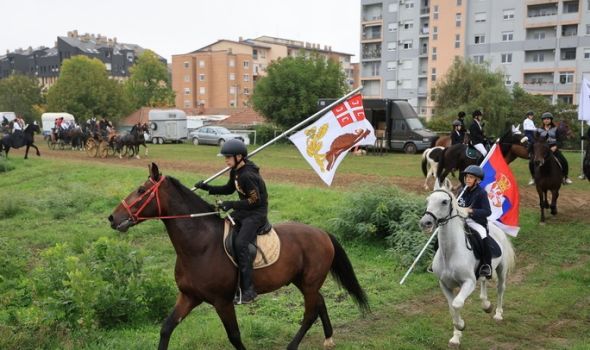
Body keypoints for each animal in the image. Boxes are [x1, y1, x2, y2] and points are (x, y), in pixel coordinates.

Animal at [107, 163, 370, 348]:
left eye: (141, 190)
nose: (112, 218)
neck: (200, 245)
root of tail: (322, 233)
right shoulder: (189, 296)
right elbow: (166, 328)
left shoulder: (223, 302)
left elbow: (234, 336)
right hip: (303, 281)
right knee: (320, 303)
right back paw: (329, 338)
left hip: (309, 282)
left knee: (310, 313)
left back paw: (293, 346)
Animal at [418, 185, 516, 348]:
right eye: (428, 200)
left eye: (444, 202)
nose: (425, 223)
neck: (450, 253)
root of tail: (497, 229)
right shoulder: (444, 285)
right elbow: (451, 308)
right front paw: (456, 337)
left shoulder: (468, 282)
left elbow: (457, 304)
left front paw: (461, 325)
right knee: (484, 280)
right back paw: (486, 304)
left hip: (501, 269)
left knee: (500, 288)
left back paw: (497, 314)